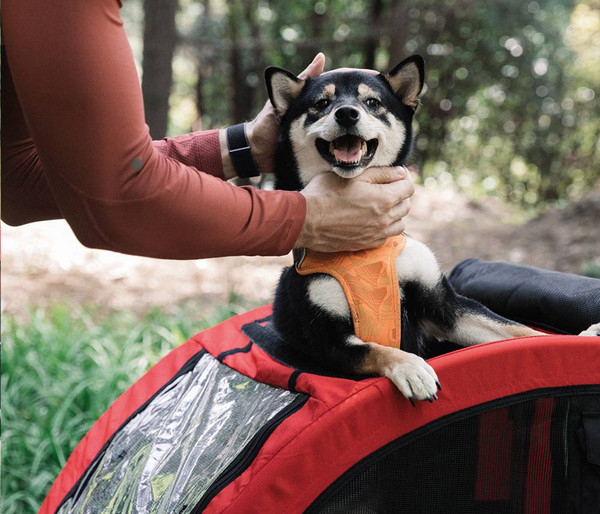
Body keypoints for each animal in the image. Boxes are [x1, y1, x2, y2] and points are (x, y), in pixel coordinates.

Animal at [268, 55, 600, 400]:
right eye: (321, 104)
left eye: (373, 102)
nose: (346, 113)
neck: (365, 250)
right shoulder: (325, 337)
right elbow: (375, 349)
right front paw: (411, 368)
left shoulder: (444, 304)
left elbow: (518, 330)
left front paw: (576, 340)